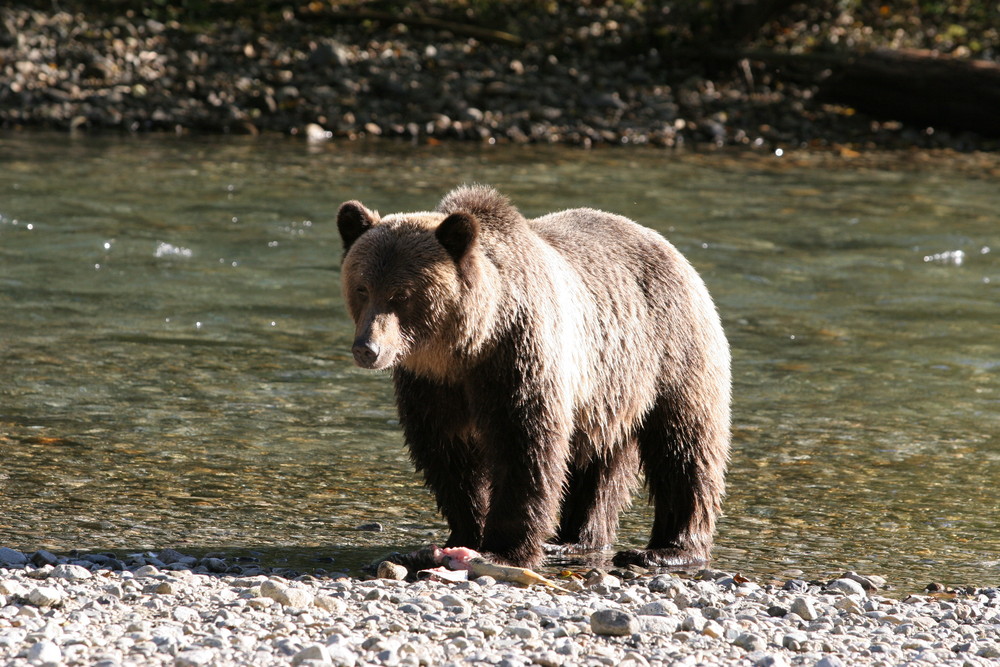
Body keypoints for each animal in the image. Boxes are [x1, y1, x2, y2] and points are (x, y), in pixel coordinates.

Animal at [336, 185, 730, 570]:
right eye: (362, 288)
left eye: (401, 295)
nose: (367, 348)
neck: (465, 348)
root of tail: (669, 249)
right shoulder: (431, 385)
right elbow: (448, 456)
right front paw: (458, 537)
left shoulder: (518, 359)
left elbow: (524, 448)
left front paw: (503, 549)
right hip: (607, 393)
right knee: (596, 463)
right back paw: (574, 540)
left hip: (669, 353)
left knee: (684, 447)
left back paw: (667, 549)